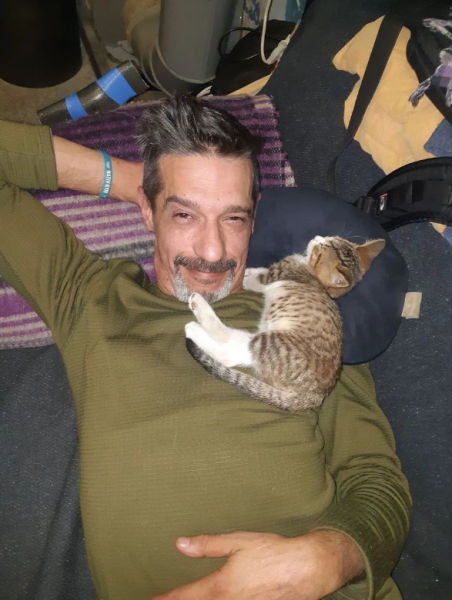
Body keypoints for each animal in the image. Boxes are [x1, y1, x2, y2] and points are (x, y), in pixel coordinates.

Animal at [185, 235, 385, 413]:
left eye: (322, 248)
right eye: (332, 238)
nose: (317, 237)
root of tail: (315, 396)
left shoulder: (274, 275)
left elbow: (256, 278)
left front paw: (244, 275)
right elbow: (258, 272)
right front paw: (250, 271)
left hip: (273, 343)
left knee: (230, 342)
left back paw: (196, 318)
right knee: (233, 355)